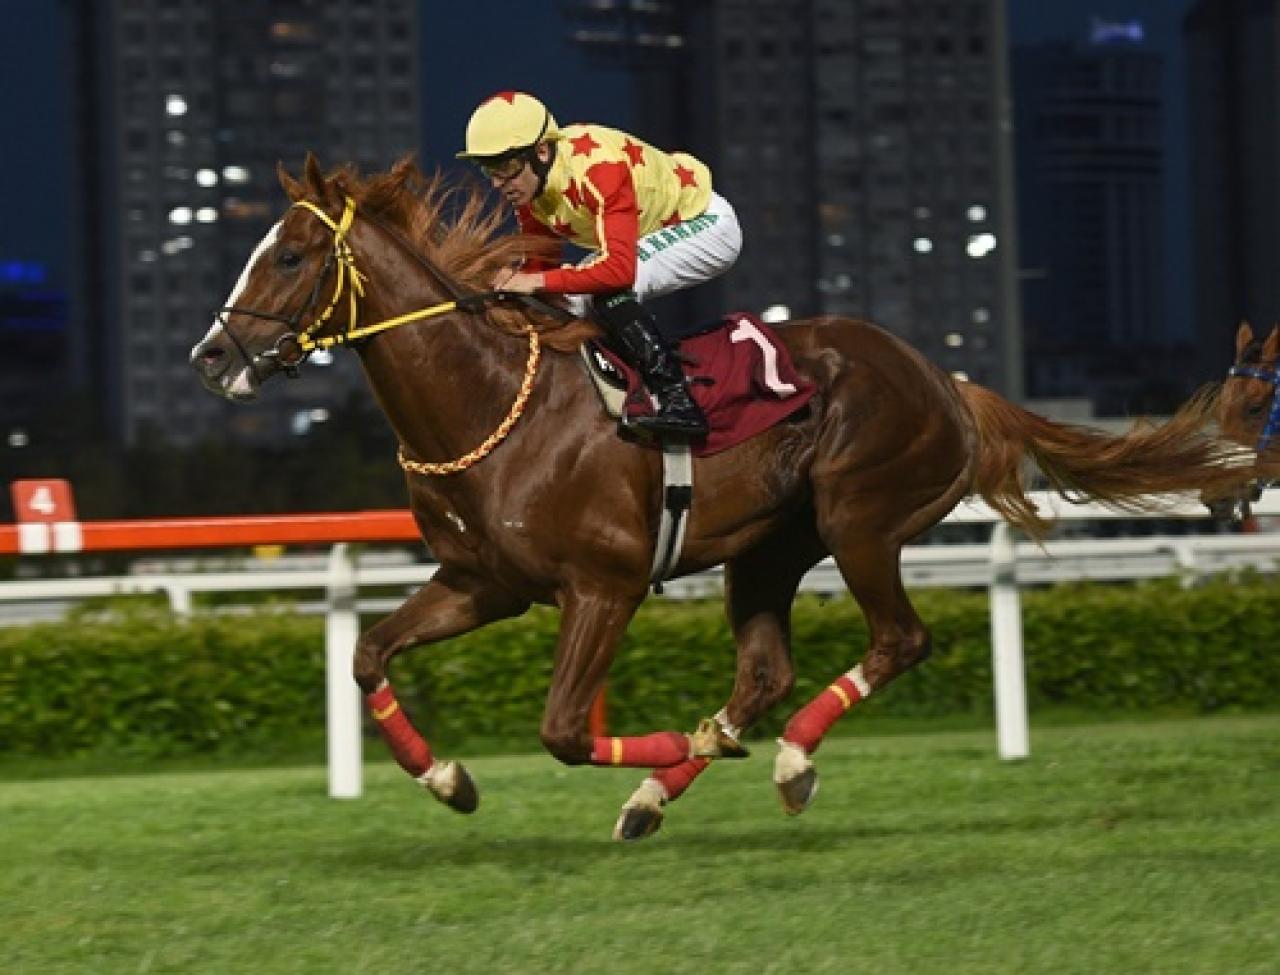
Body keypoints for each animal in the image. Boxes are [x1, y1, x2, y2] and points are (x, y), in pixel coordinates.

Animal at [192, 157, 1259, 834]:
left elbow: (563, 730)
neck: (491, 400)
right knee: (765, 672)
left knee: (898, 640)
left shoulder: (605, 584)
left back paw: (783, 761)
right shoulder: (481, 583)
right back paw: (661, 791)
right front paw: (449, 779)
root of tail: (945, 380)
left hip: (860, 516)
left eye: (288, 257)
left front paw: (665, 738)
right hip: (769, 547)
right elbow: (367, 653)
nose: (212, 357)